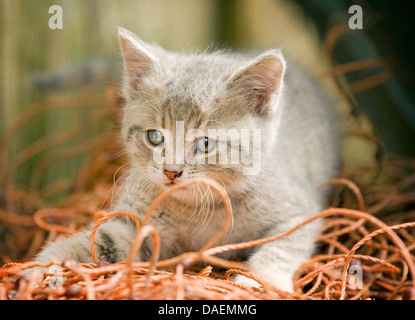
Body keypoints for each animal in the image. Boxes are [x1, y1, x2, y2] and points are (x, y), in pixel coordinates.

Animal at [35, 28, 342, 292]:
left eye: (204, 143)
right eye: (155, 137)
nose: (171, 171)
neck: (201, 209)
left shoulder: (301, 213)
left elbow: (283, 248)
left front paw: (259, 281)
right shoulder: (134, 225)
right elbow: (93, 241)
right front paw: (42, 269)